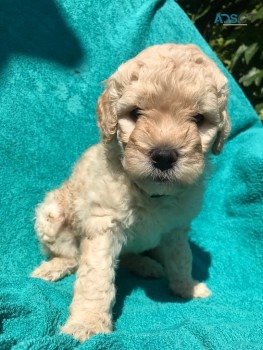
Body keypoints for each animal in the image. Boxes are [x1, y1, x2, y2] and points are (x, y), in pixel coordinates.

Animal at [31, 43, 231, 342]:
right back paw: (52, 268)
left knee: (127, 256)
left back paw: (146, 266)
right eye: (136, 113)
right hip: (52, 214)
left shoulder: (177, 229)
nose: (163, 156)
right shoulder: (103, 226)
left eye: (199, 119)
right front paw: (87, 323)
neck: (150, 194)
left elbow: (182, 258)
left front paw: (187, 287)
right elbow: (95, 278)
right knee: (72, 256)